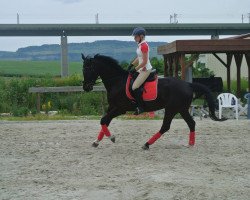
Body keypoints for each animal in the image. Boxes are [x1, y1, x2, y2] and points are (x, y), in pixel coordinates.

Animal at [81, 53, 225, 150]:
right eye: (83, 69)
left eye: (89, 69)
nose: (86, 87)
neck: (117, 81)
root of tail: (188, 84)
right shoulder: (112, 107)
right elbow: (105, 121)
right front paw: (96, 141)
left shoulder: (121, 108)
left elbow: (103, 120)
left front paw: (112, 138)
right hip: (181, 109)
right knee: (191, 123)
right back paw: (190, 144)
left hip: (172, 109)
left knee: (166, 126)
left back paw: (147, 144)